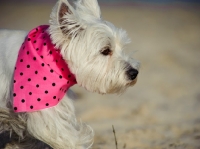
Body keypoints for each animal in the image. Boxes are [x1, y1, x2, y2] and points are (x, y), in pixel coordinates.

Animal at [0, 0, 140, 148]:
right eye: (105, 50)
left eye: (122, 47)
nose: (134, 73)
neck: (52, 57)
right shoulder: (41, 108)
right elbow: (66, 138)